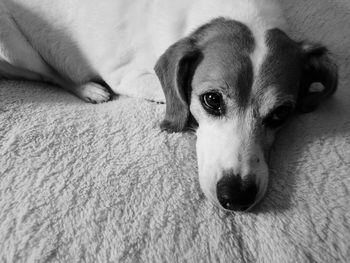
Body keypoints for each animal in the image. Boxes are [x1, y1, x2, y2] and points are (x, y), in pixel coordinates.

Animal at [0, 0, 340, 211]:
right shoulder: (128, 76)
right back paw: (88, 89)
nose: (237, 198)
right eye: (212, 100)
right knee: (45, 72)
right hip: (14, 48)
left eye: (281, 113)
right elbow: (176, 98)